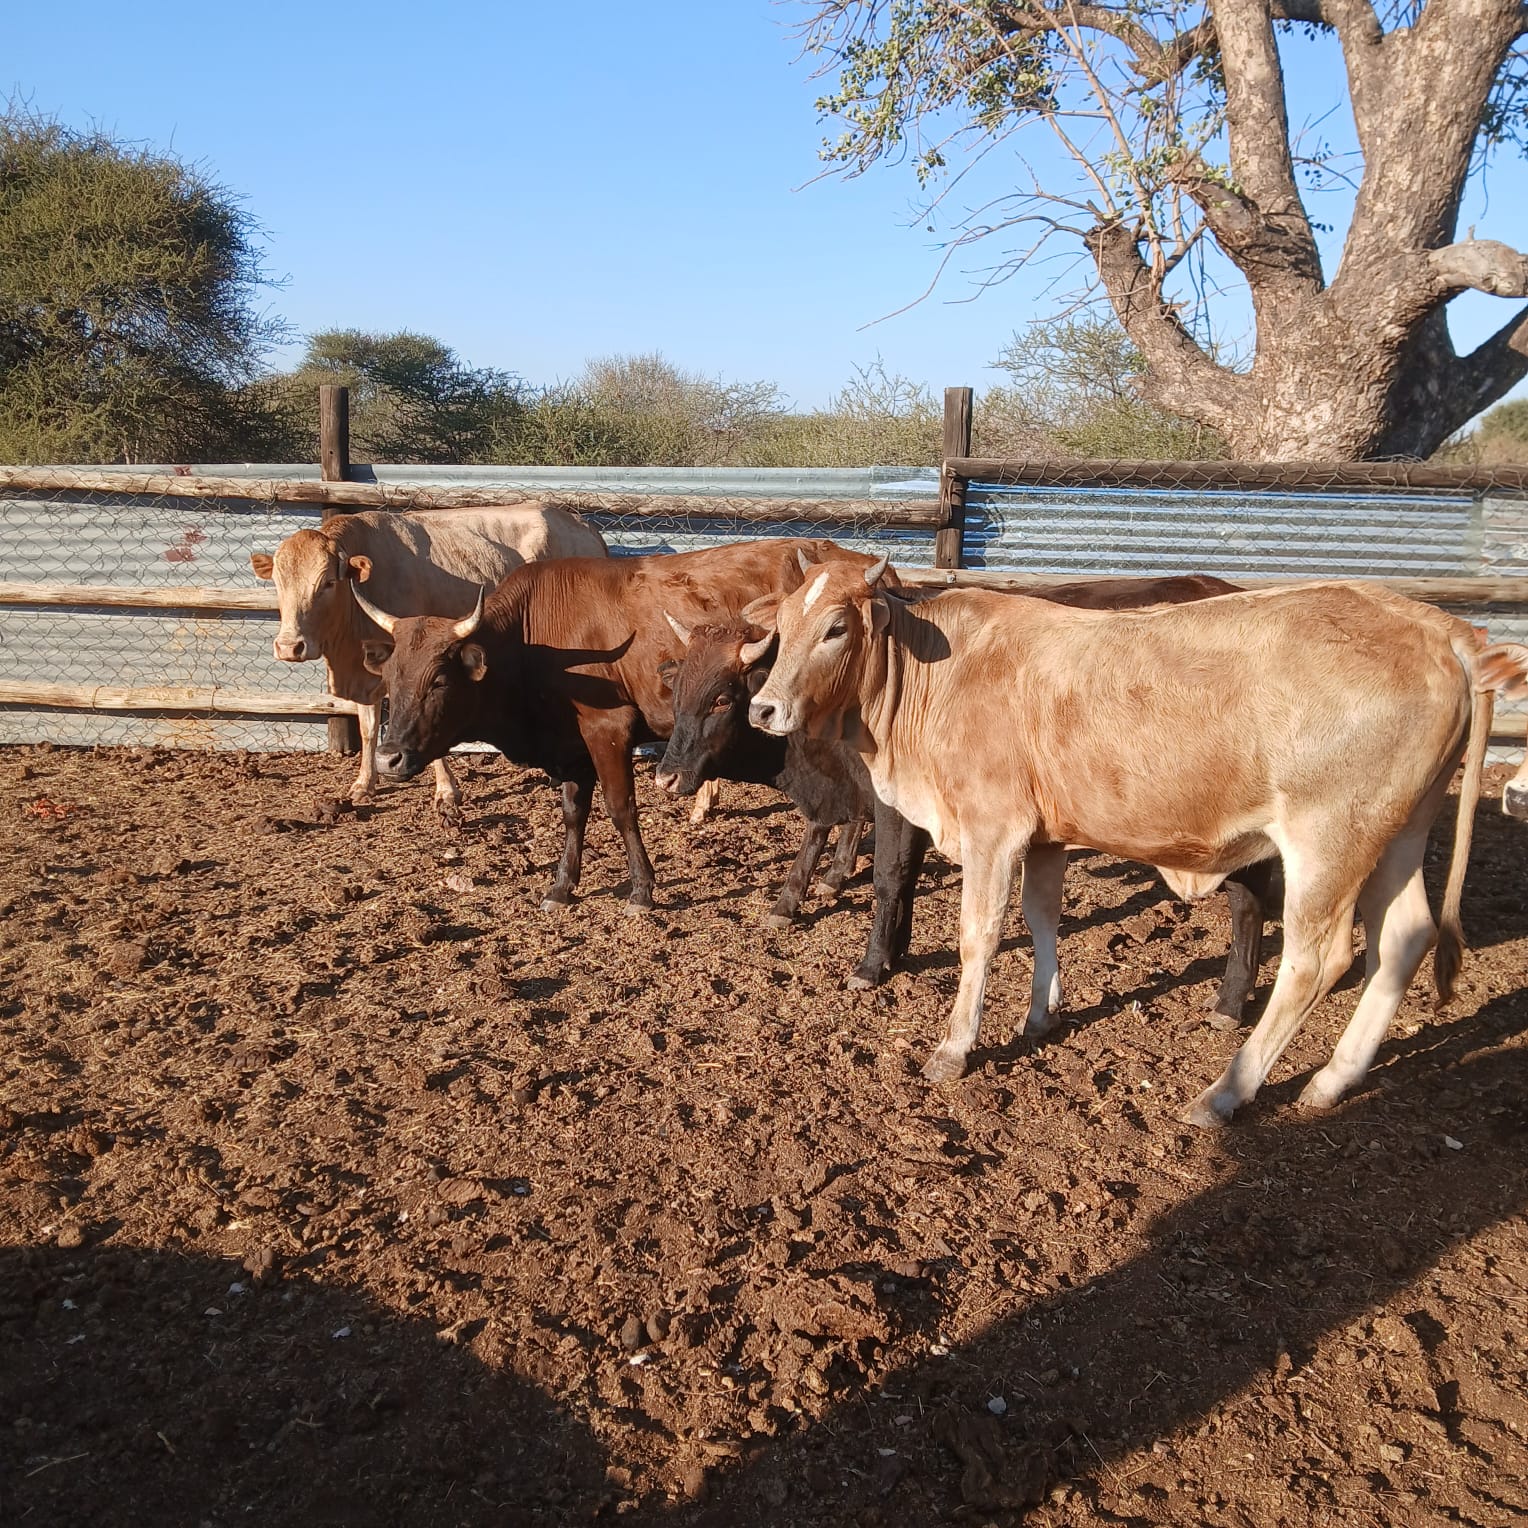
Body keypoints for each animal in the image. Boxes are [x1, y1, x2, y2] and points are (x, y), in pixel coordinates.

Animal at [250, 504, 608, 823]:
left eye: (327, 582)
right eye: (278, 583)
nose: (289, 646)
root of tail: (584, 526)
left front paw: (447, 792)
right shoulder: (373, 673)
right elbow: (368, 729)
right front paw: (363, 784)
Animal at [352, 539, 897, 913]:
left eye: (440, 679)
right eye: (393, 676)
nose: (389, 757)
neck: (535, 636)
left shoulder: (606, 731)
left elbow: (620, 809)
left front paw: (641, 889)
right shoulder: (571, 747)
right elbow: (573, 813)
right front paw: (561, 886)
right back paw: (839, 871)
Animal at [657, 571, 1274, 1016]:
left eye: (723, 697)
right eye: (679, 688)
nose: (665, 774)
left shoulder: (891, 803)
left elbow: (887, 875)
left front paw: (871, 961)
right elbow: (862, 858)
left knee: (1250, 902)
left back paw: (1230, 1002)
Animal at [746, 559, 1495, 1126]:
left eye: (836, 627)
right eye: (781, 628)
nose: (764, 708)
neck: (940, 677)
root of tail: (1437, 626)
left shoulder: (992, 829)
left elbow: (979, 935)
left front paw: (955, 1047)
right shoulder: (1045, 834)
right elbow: (1041, 918)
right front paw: (1042, 1013)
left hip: (1331, 839)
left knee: (1318, 959)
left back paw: (1226, 1092)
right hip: (1397, 833)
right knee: (1404, 937)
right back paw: (1333, 1079)